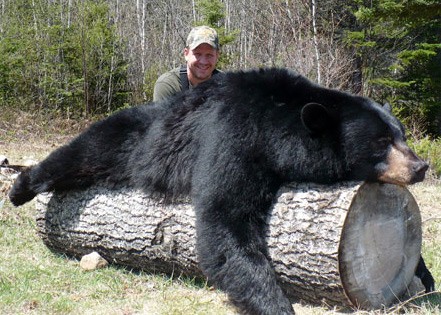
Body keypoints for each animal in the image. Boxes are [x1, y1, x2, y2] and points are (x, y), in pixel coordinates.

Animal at [8, 68, 432, 314]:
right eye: (381, 143)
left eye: (402, 135)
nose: (421, 167)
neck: (276, 121)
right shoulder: (234, 135)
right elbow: (225, 222)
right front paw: (275, 305)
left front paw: (424, 273)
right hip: (133, 139)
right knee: (84, 152)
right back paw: (19, 187)